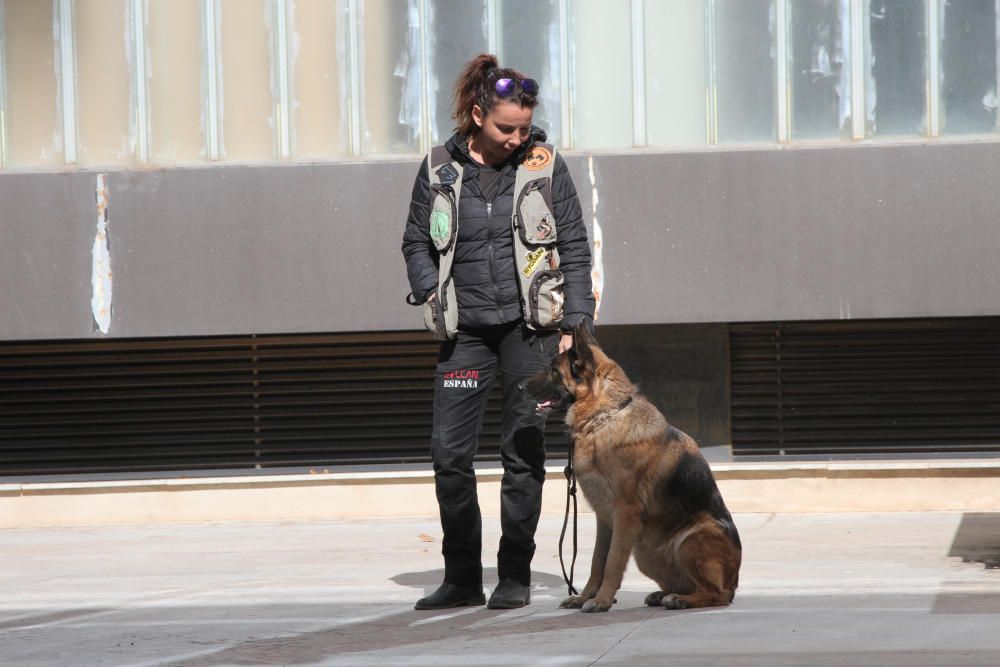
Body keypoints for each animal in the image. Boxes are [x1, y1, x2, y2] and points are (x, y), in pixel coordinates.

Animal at [524, 326, 744, 612]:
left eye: (553, 369)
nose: (520, 387)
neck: (603, 417)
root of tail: (734, 582)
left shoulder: (625, 512)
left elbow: (613, 561)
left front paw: (602, 600)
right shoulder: (604, 516)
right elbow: (598, 561)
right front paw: (586, 597)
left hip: (693, 537)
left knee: (716, 594)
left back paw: (681, 600)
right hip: (645, 555)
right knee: (689, 585)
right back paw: (664, 595)